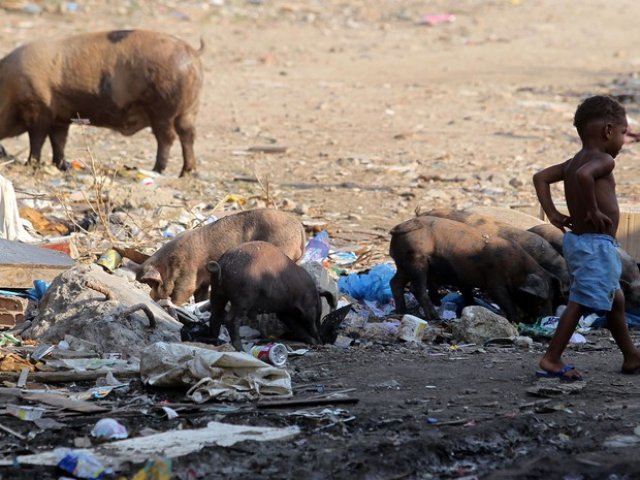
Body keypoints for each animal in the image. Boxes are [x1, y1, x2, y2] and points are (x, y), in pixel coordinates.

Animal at [0, 29, 202, 176]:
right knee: (187, 135)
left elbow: (37, 139)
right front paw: (61, 165)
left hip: (162, 109)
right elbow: (58, 140)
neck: (8, 87)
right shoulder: (61, 117)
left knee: (167, 138)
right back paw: (187, 172)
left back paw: (157, 170)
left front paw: (30, 164)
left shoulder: (38, 109)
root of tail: (191, 52)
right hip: (188, 111)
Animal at [134, 209, 306, 306]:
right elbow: (200, 296)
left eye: (151, 283)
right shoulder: (203, 281)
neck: (169, 263)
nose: (150, 296)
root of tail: (299, 226)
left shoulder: (188, 273)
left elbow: (182, 291)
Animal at [208, 242, 338, 350]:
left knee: (215, 317)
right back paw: (241, 350)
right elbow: (310, 325)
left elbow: (297, 327)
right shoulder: (308, 308)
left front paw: (315, 342)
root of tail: (223, 265)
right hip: (243, 298)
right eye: (319, 311)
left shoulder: (284, 312)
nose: (324, 339)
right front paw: (319, 342)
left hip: (217, 292)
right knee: (231, 320)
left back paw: (216, 343)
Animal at [388, 217, 556, 322]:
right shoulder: (494, 281)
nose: (548, 316)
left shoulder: (465, 279)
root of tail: (400, 227)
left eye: (551, 297)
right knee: (416, 288)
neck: (518, 270)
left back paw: (403, 311)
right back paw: (434, 316)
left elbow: (467, 294)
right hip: (417, 261)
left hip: (403, 264)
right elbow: (504, 300)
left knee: (395, 283)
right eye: (539, 300)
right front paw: (517, 320)